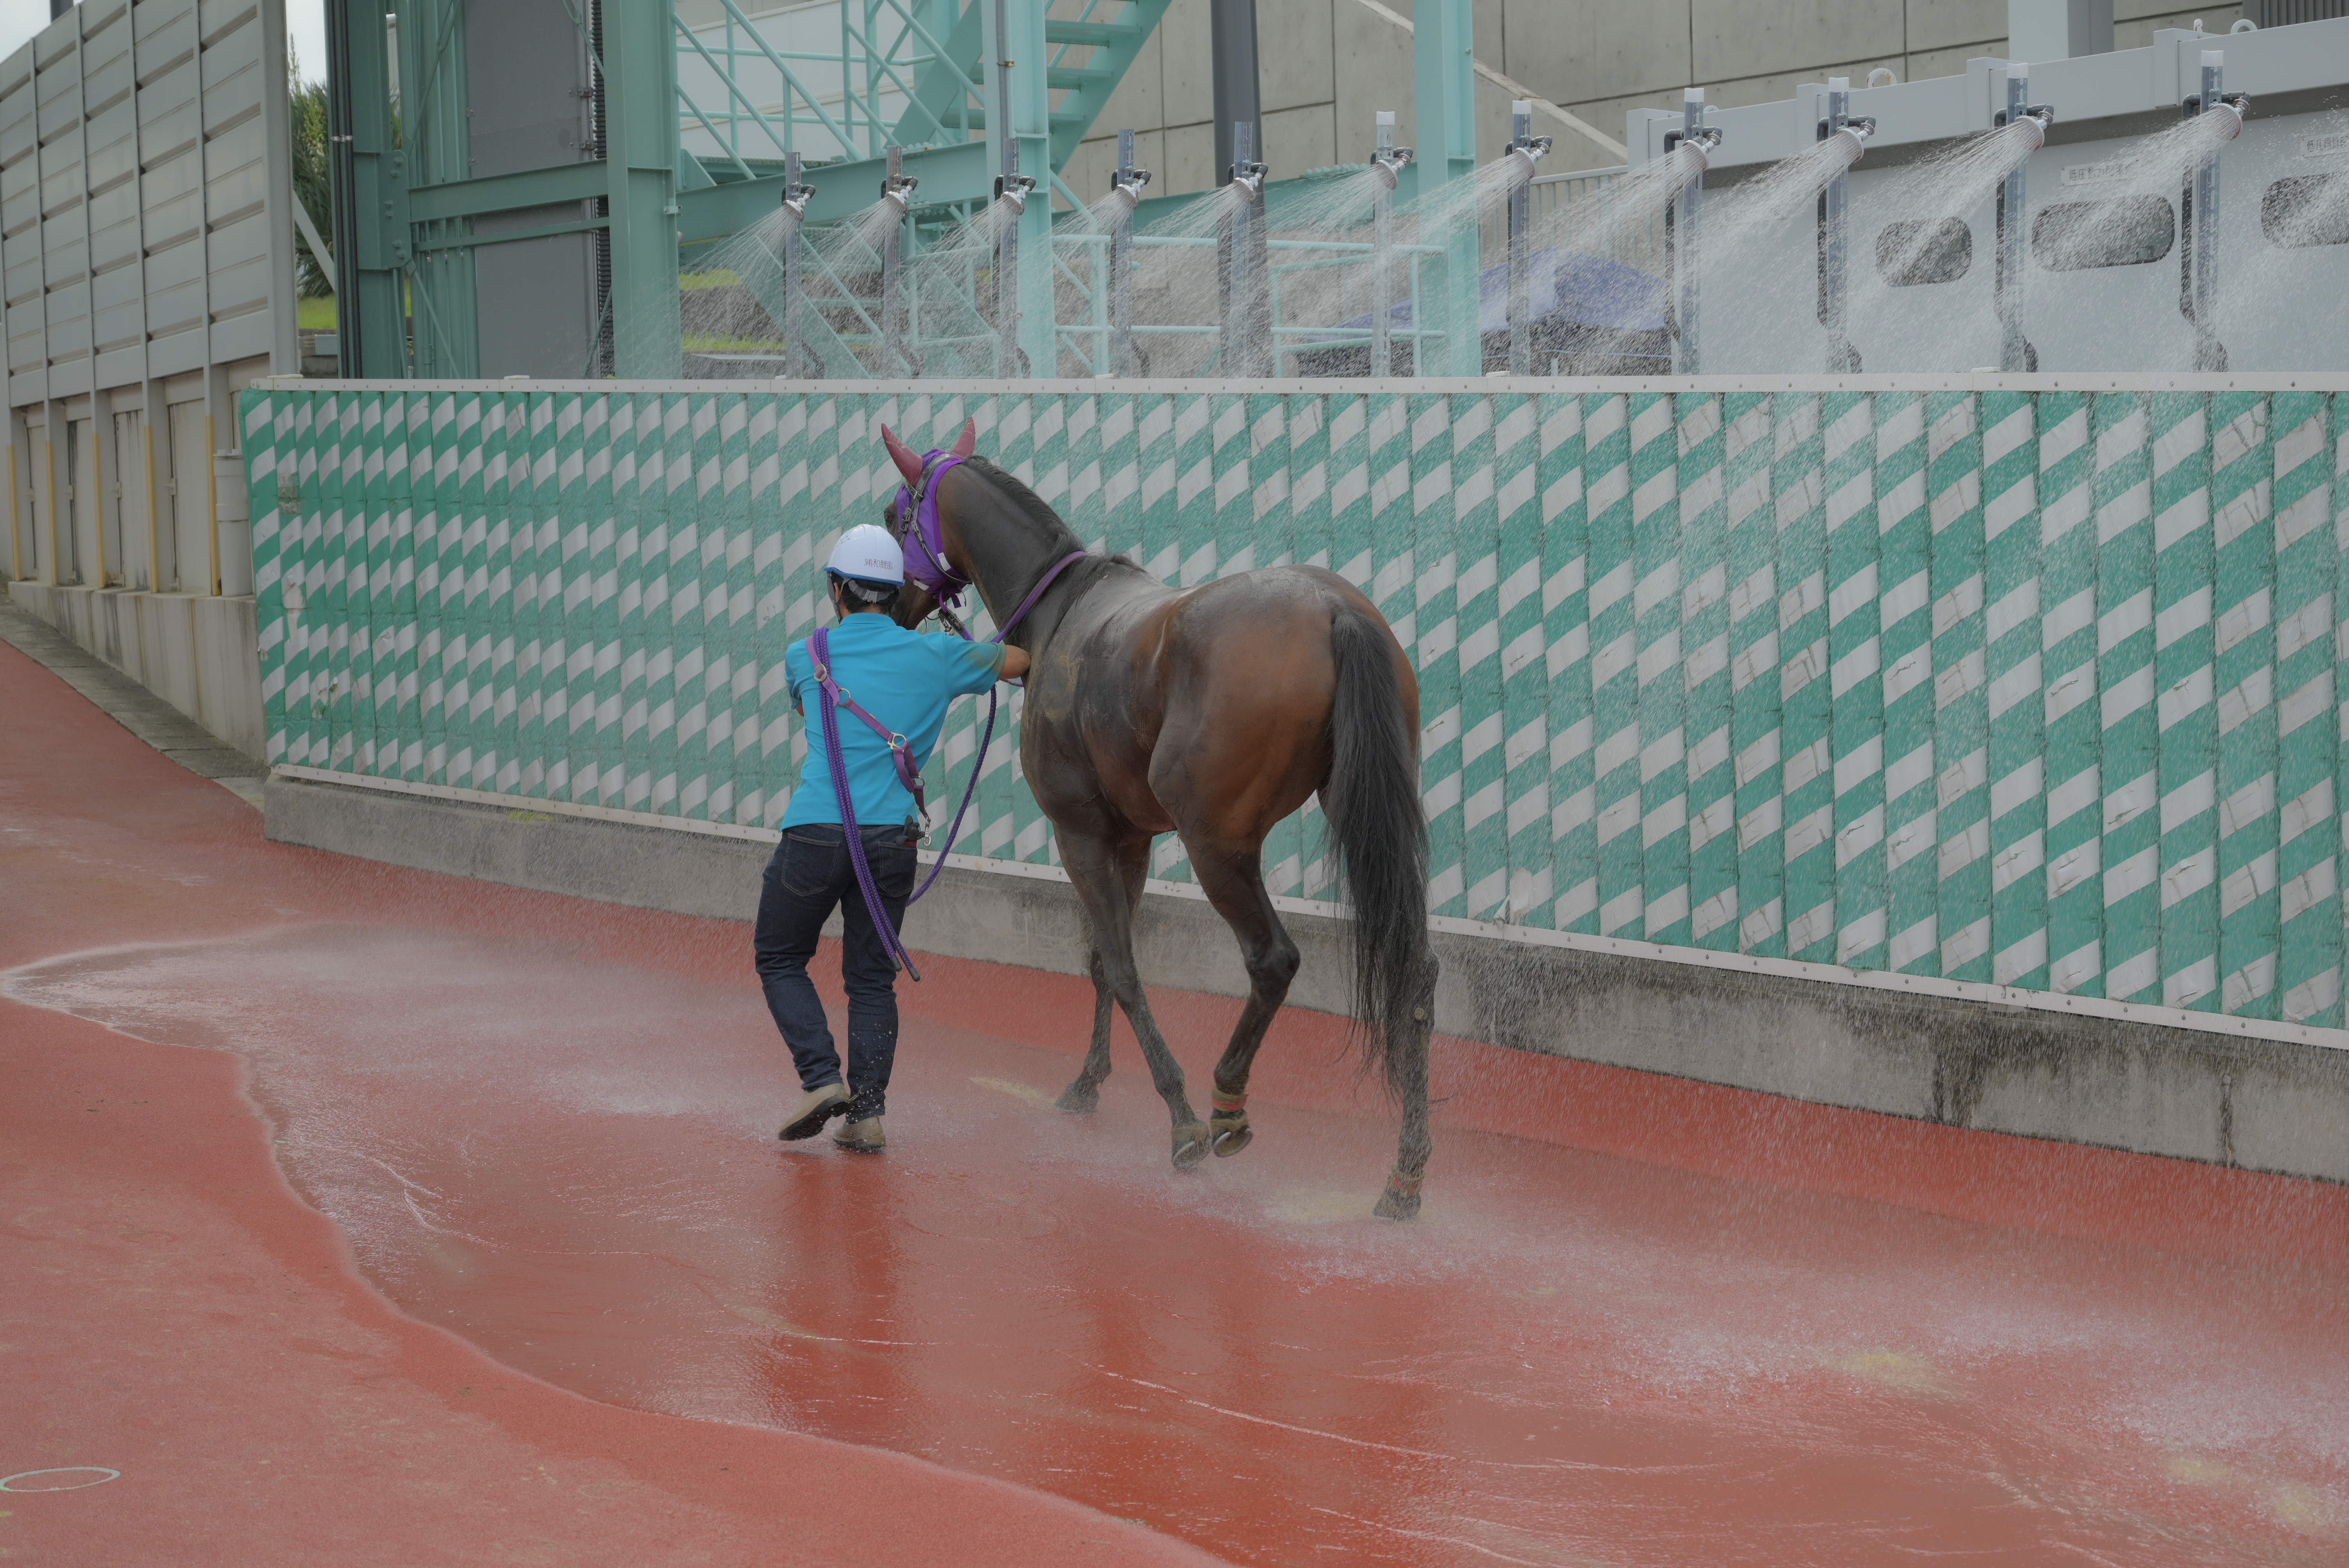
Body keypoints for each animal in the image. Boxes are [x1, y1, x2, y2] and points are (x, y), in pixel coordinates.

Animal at [877, 420, 1440, 1218]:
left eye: (893, 516)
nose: (885, 605)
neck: (1062, 612)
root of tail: (1332, 610)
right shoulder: (1132, 840)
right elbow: (1101, 963)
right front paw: (1088, 1082)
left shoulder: (1079, 834)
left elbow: (1119, 964)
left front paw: (1178, 1118)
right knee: (1414, 971)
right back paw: (1405, 1171)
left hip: (1217, 844)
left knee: (1272, 961)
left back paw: (1226, 1100)